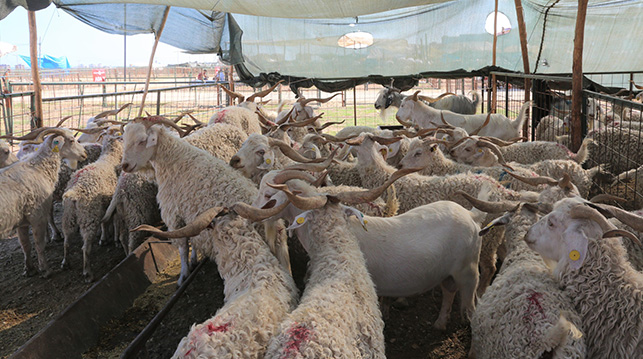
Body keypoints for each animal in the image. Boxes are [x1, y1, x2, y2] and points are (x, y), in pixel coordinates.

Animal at [0, 129, 87, 278]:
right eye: (71, 140)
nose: (84, 153)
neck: (37, 168)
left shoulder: (21, 222)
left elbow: (26, 245)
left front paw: (29, 269)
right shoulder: (37, 216)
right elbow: (39, 244)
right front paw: (46, 270)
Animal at [62, 135, 124, 282]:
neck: (110, 158)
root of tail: (73, 191)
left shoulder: (103, 207)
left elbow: (104, 223)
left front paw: (104, 238)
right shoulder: (113, 205)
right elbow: (115, 222)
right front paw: (116, 241)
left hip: (69, 217)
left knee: (66, 241)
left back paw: (65, 262)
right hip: (88, 217)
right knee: (85, 248)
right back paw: (88, 273)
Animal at [254, 169, 486, 332]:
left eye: (268, 194)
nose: (254, 215)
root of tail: (471, 216)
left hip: (469, 272)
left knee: (471, 304)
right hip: (448, 273)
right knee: (449, 291)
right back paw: (440, 323)